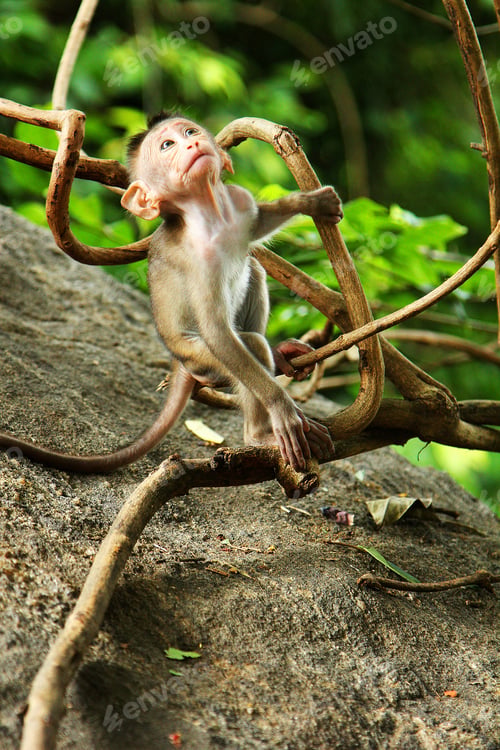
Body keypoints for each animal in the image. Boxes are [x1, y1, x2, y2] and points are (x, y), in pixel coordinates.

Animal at [0, 112, 342, 473]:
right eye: (167, 145)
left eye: (190, 131)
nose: (193, 143)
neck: (212, 215)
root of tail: (179, 361)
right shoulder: (201, 261)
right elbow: (216, 330)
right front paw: (282, 409)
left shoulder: (239, 202)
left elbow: (260, 221)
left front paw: (312, 202)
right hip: (200, 358)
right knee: (245, 346)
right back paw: (259, 433)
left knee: (255, 269)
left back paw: (278, 354)